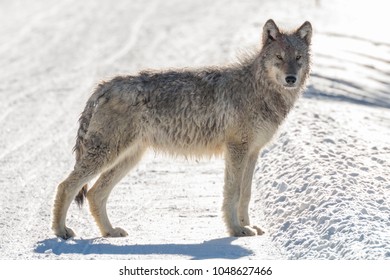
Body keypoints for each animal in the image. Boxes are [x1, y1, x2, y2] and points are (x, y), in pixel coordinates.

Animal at [52, 19, 314, 238]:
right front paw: (236, 230)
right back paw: (61, 231)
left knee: (94, 193)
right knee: (66, 186)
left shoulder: (252, 152)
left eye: (298, 57)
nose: (291, 78)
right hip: (107, 155)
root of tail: (105, 85)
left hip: (128, 158)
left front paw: (247, 226)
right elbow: (233, 193)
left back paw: (110, 232)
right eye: (279, 57)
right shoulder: (236, 149)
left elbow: (246, 194)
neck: (259, 89)